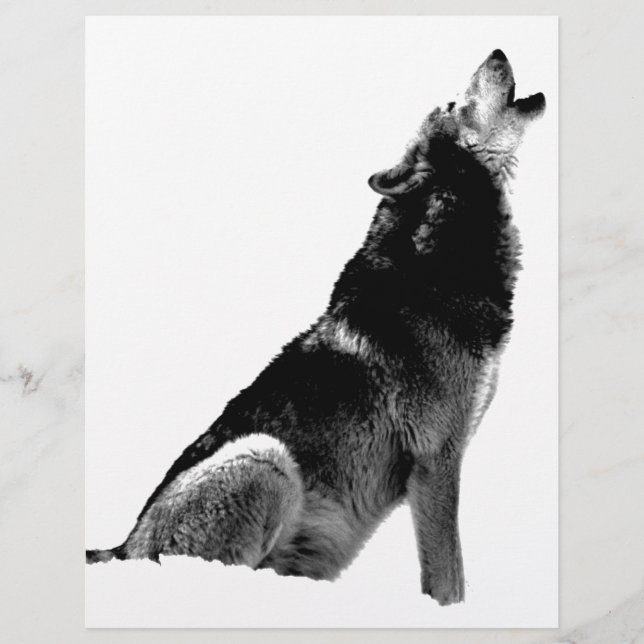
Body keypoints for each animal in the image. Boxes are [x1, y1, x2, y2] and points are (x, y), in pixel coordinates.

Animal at [87, 49, 545, 605]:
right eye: (454, 104)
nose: (497, 52)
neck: (440, 261)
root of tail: (124, 547)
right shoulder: (436, 460)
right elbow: (448, 578)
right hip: (265, 459)